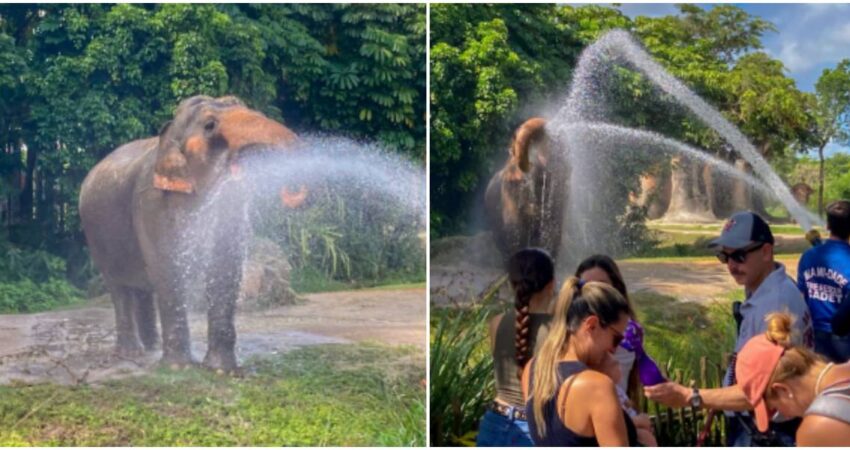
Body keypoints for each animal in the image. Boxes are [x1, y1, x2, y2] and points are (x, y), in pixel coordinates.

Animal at [79, 95, 306, 372]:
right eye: (209, 126)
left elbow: (224, 268)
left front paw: (222, 370)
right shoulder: (152, 203)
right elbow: (168, 267)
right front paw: (180, 368)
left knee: (144, 287)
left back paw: (152, 348)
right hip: (96, 235)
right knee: (119, 288)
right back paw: (132, 353)